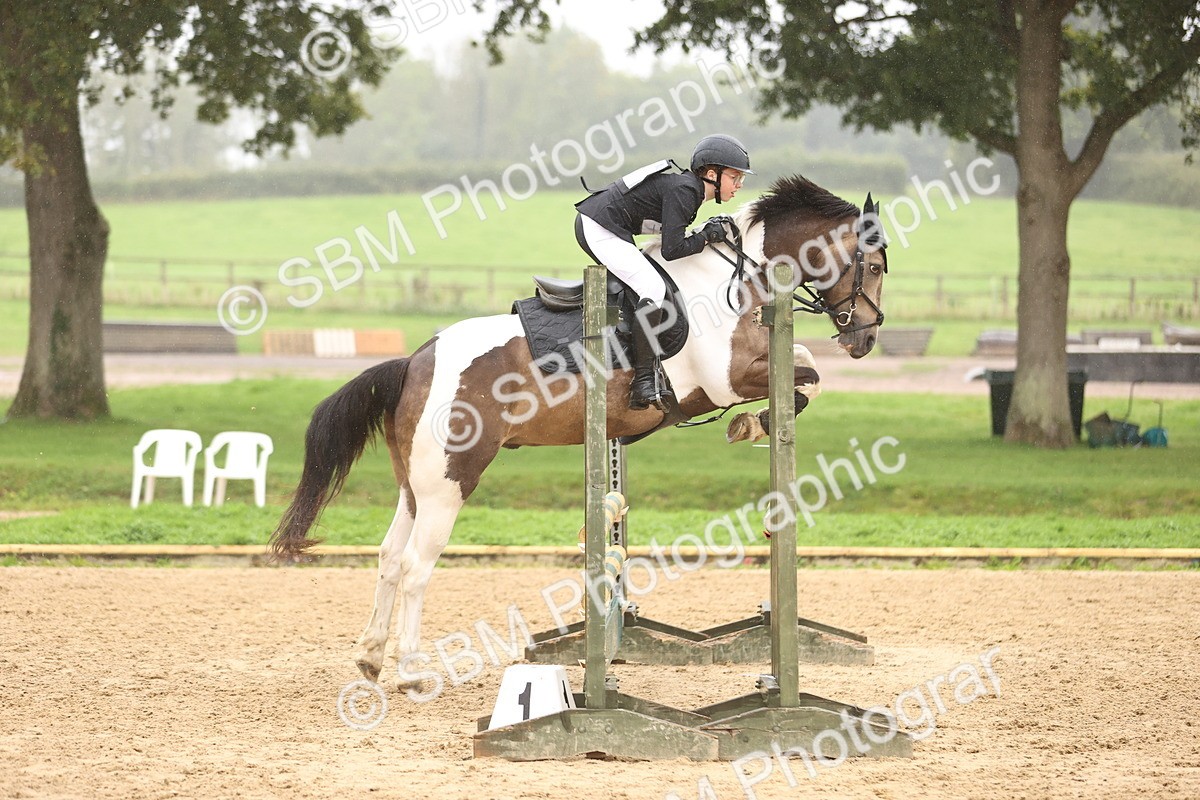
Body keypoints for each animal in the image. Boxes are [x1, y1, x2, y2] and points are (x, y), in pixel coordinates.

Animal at [269, 175, 888, 688]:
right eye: (877, 265)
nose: (866, 337)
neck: (736, 277)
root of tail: (414, 360)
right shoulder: (725, 379)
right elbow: (805, 377)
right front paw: (750, 423)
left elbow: (805, 366)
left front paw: (752, 423)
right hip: (450, 481)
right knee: (418, 567)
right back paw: (412, 672)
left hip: (415, 484)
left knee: (390, 557)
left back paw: (371, 657)